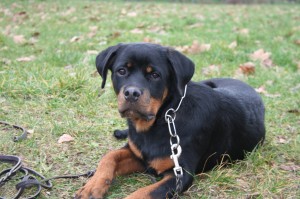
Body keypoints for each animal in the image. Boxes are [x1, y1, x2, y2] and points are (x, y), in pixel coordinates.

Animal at [75, 43, 264, 199]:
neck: (162, 120)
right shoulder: (139, 156)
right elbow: (109, 156)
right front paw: (92, 187)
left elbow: (143, 193)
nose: (131, 93)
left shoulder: (180, 174)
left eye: (155, 75)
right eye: (122, 71)